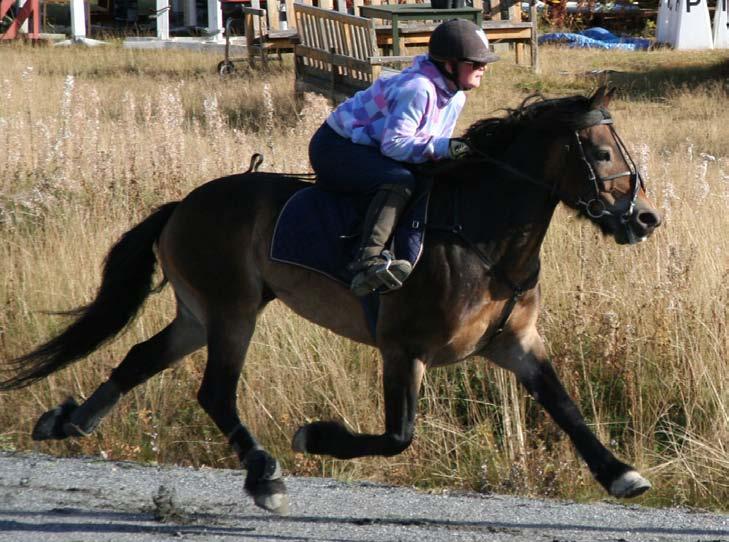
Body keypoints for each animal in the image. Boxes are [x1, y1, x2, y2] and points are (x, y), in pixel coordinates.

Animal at [0, 87, 660, 516]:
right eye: (602, 152)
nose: (644, 219)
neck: (487, 239)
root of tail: (182, 205)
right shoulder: (403, 348)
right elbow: (398, 436)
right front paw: (313, 437)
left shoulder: (515, 343)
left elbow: (566, 407)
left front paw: (620, 473)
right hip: (232, 309)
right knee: (215, 391)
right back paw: (264, 475)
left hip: (197, 312)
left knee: (141, 357)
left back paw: (70, 419)